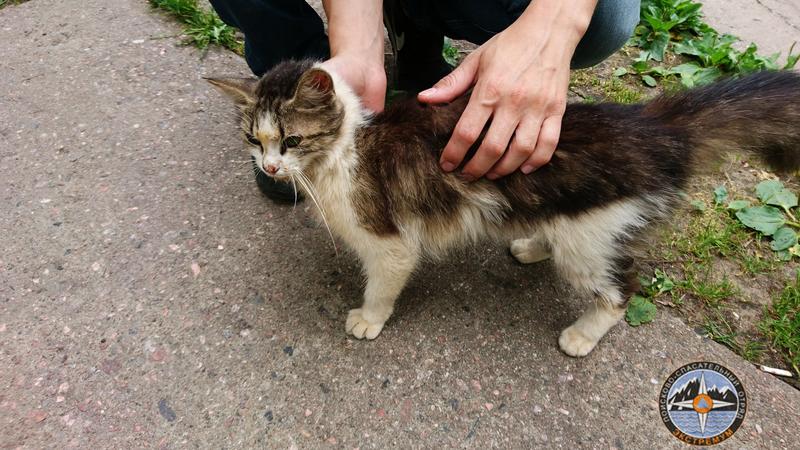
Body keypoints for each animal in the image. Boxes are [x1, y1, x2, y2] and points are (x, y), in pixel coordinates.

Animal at [209, 60, 800, 356]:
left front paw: (369, 319)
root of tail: (652, 125)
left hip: (592, 240)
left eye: (291, 141)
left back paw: (583, 335)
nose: (270, 169)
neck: (345, 150)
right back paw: (532, 245)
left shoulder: (390, 240)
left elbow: (384, 282)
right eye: (253, 139)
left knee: (619, 289)